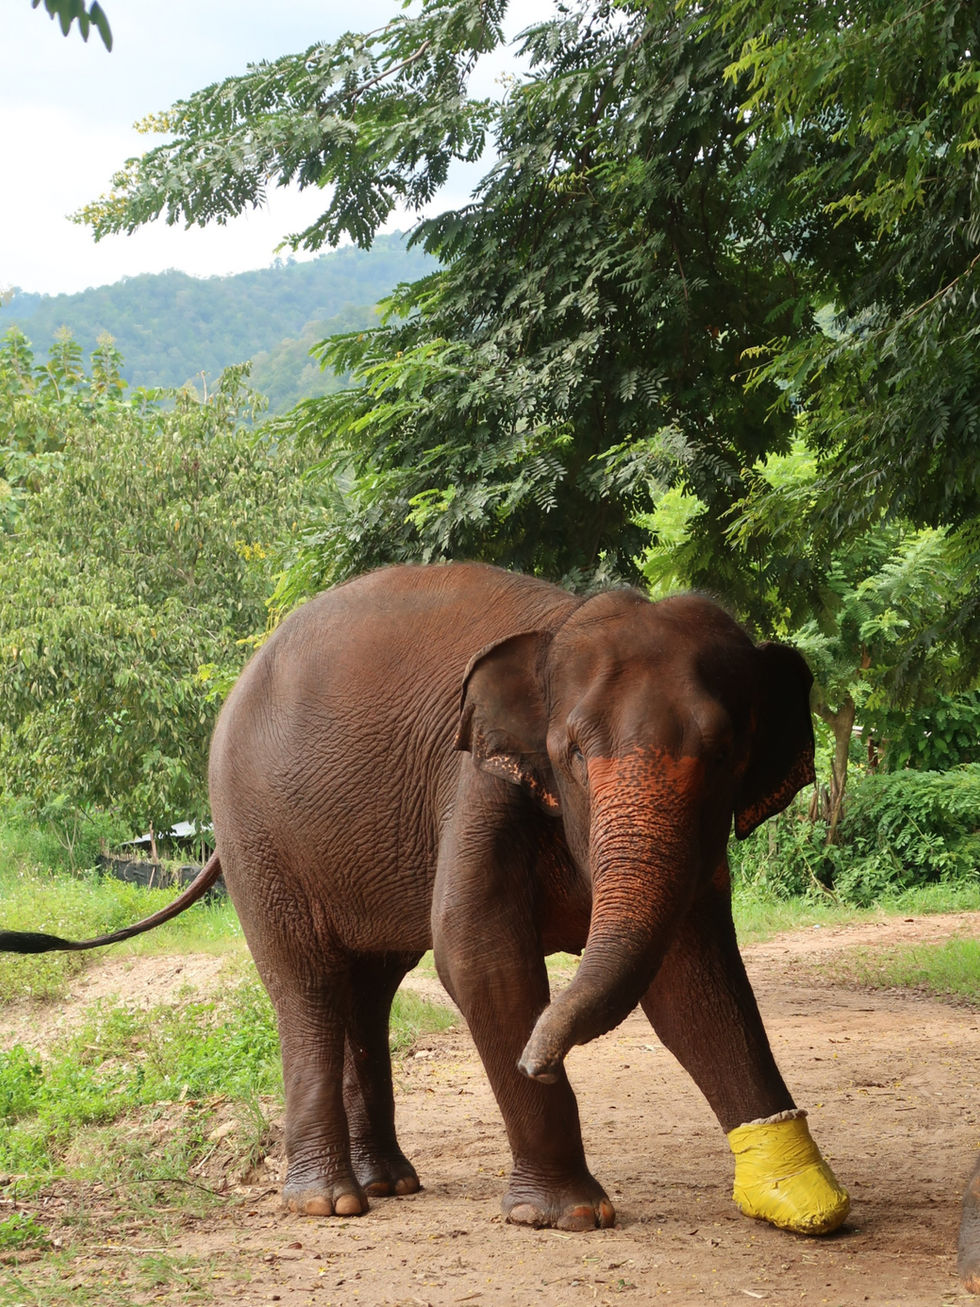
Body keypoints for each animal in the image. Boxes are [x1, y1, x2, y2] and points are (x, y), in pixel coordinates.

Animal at [0, 562, 849, 1235]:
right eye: (573, 751)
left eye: (727, 751)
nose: (540, 1057)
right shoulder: (473, 784)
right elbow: (479, 958)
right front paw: (569, 1215)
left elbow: (694, 981)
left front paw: (806, 1200)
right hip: (257, 836)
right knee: (306, 983)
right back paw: (330, 1202)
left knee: (367, 990)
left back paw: (390, 1182)